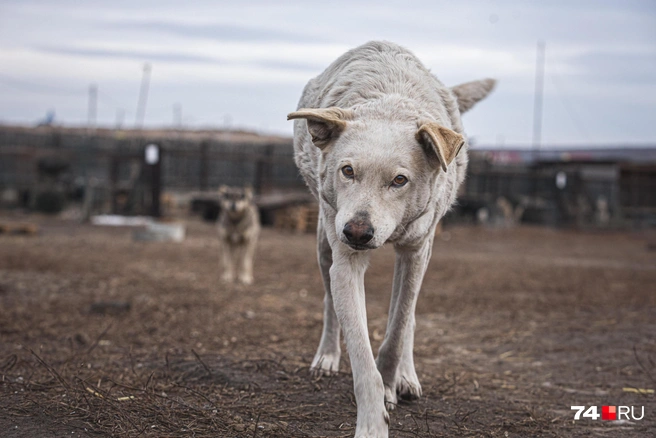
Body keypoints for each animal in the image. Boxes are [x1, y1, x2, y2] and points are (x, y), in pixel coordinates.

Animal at [288, 40, 492, 434]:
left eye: (399, 180)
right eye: (347, 171)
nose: (357, 232)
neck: (389, 102)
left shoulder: (416, 251)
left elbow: (398, 329)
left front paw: (390, 384)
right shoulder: (345, 262)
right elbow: (361, 354)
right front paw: (372, 423)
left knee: (408, 316)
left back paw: (406, 378)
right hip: (323, 243)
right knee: (328, 302)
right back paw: (327, 356)